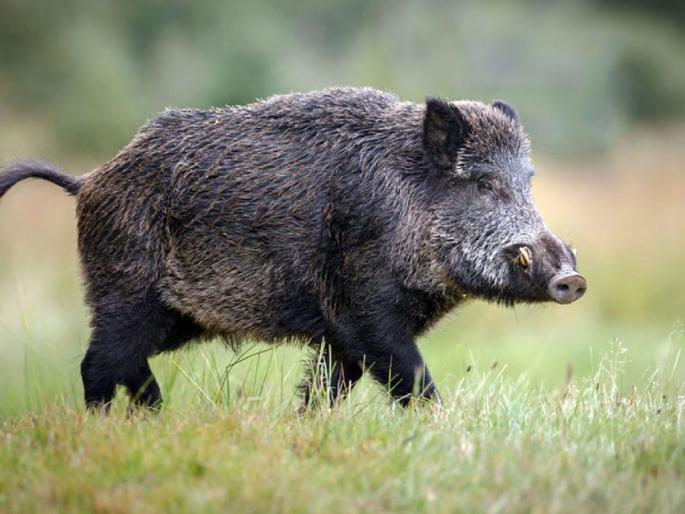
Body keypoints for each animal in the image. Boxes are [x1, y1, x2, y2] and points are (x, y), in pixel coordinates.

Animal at [0, 87, 586, 410]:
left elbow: (326, 390)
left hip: (171, 317)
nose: (572, 278)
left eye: (528, 181)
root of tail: (88, 180)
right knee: (97, 365)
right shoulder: (364, 310)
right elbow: (412, 379)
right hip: (125, 291)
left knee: (125, 364)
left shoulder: (341, 335)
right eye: (484, 183)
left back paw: (155, 416)